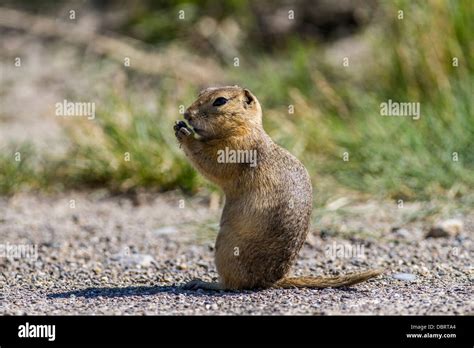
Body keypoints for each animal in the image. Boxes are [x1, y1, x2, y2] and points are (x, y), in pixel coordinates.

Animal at [174, 85, 382, 290]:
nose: (186, 114)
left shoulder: (235, 148)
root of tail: (273, 280)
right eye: (201, 92)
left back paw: (202, 282)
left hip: (226, 249)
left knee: (232, 285)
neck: (244, 128)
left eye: (220, 101)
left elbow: (211, 162)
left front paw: (184, 133)